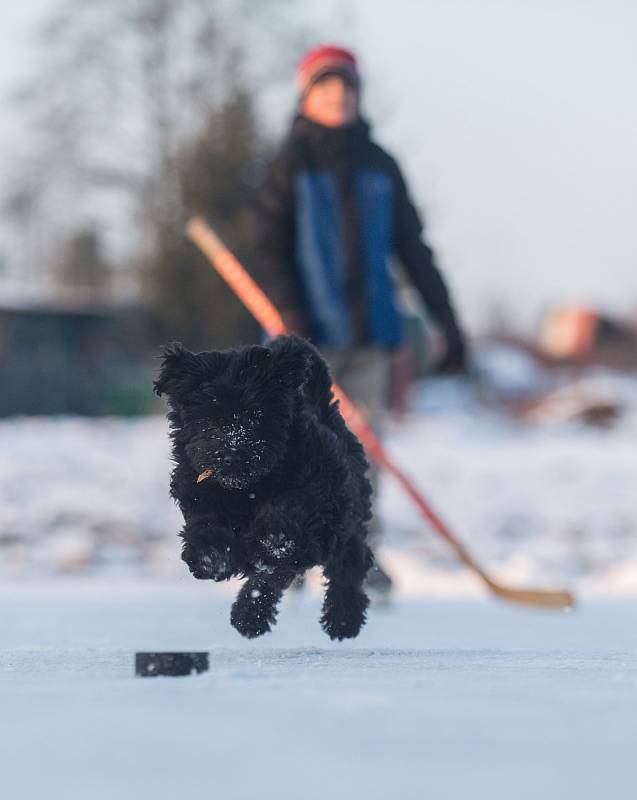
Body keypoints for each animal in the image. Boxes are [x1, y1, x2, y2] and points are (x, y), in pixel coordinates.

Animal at [153, 334, 372, 640]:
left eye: (256, 413)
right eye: (209, 416)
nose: (232, 453)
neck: (247, 488)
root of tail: (326, 414)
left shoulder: (316, 492)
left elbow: (292, 513)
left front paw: (275, 536)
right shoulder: (199, 492)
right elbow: (206, 528)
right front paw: (211, 557)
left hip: (345, 521)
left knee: (349, 564)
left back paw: (341, 619)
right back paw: (251, 616)